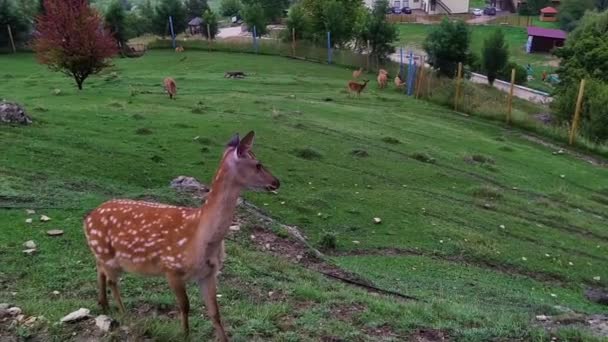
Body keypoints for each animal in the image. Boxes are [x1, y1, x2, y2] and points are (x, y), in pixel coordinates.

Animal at [83, 132, 280, 342]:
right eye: (258, 164)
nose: (277, 182)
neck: (202, 239)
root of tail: (87, 219)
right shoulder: (171, 268)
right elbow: (185, 306)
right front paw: (185, 334)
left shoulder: (209, 273)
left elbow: (215, 313)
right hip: (109, 255)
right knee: (112, 281)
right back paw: (123, 312)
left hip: (102, 254)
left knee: (100, 270)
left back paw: (103, 304)